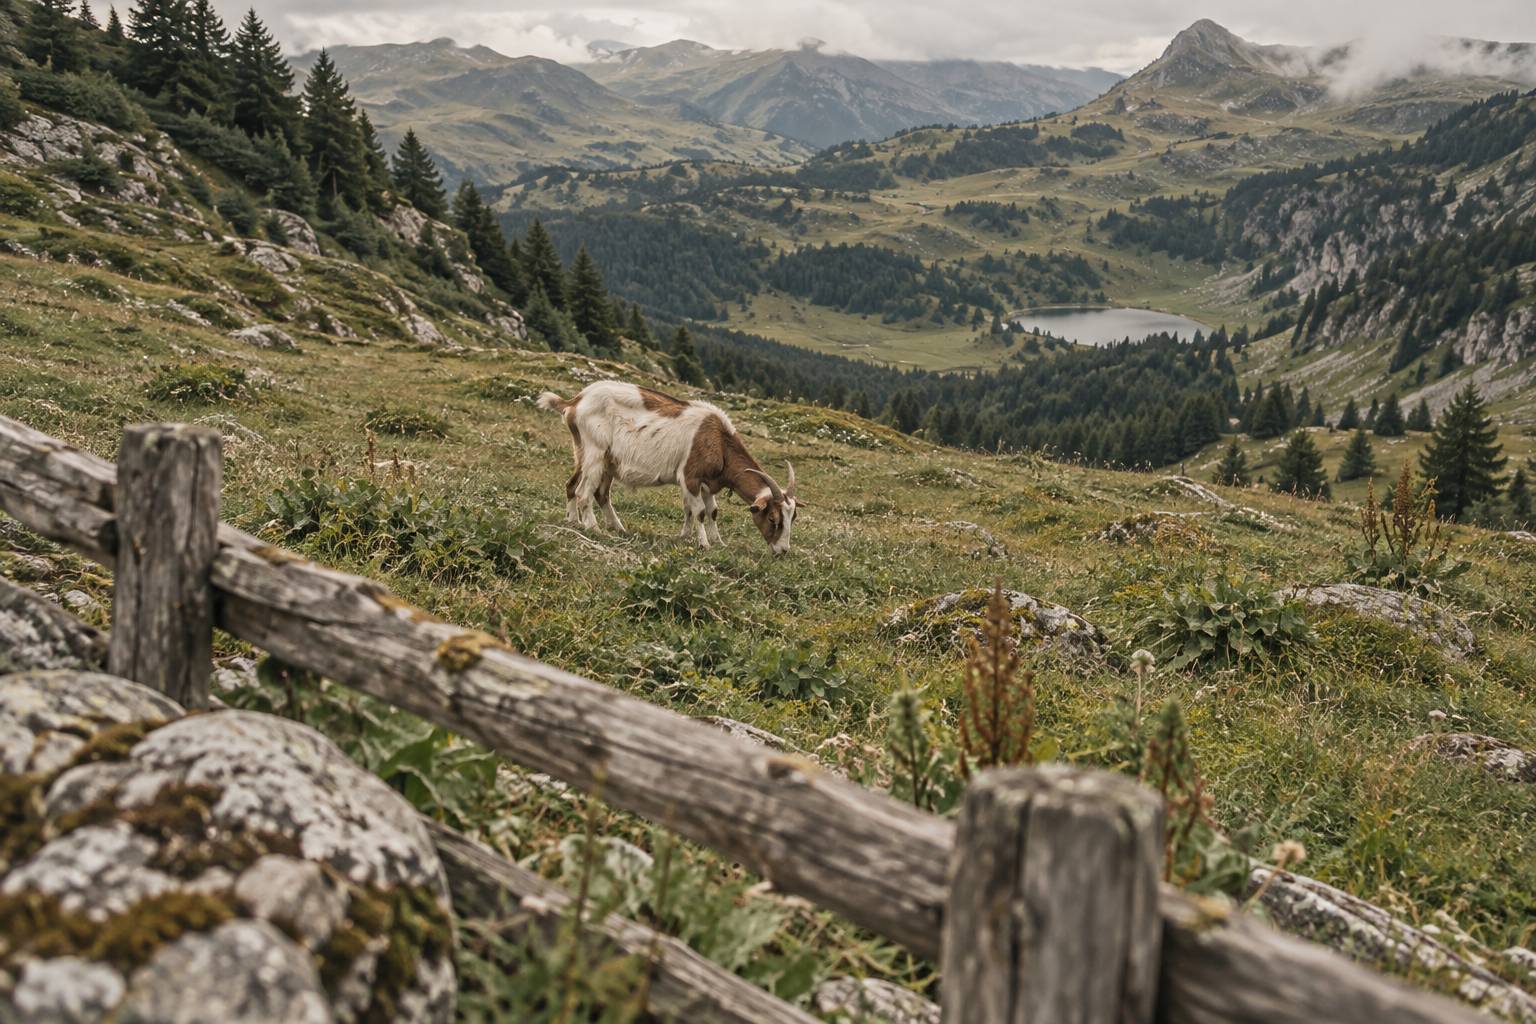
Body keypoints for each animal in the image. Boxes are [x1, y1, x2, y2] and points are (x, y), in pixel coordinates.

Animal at [537, 382, 799, 554]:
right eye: (774, 518)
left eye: (793, 518)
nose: (783, 550)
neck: (719, 440)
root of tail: (575, 401)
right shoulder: (690, 476)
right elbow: (699, 511)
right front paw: (703, 543)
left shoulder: (705, 483)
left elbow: (706, 510)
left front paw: (708, 540)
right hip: (595, 452)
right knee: (584, 492)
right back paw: (593, 527)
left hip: (594, 457)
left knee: (583, 488)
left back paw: (593, 524)